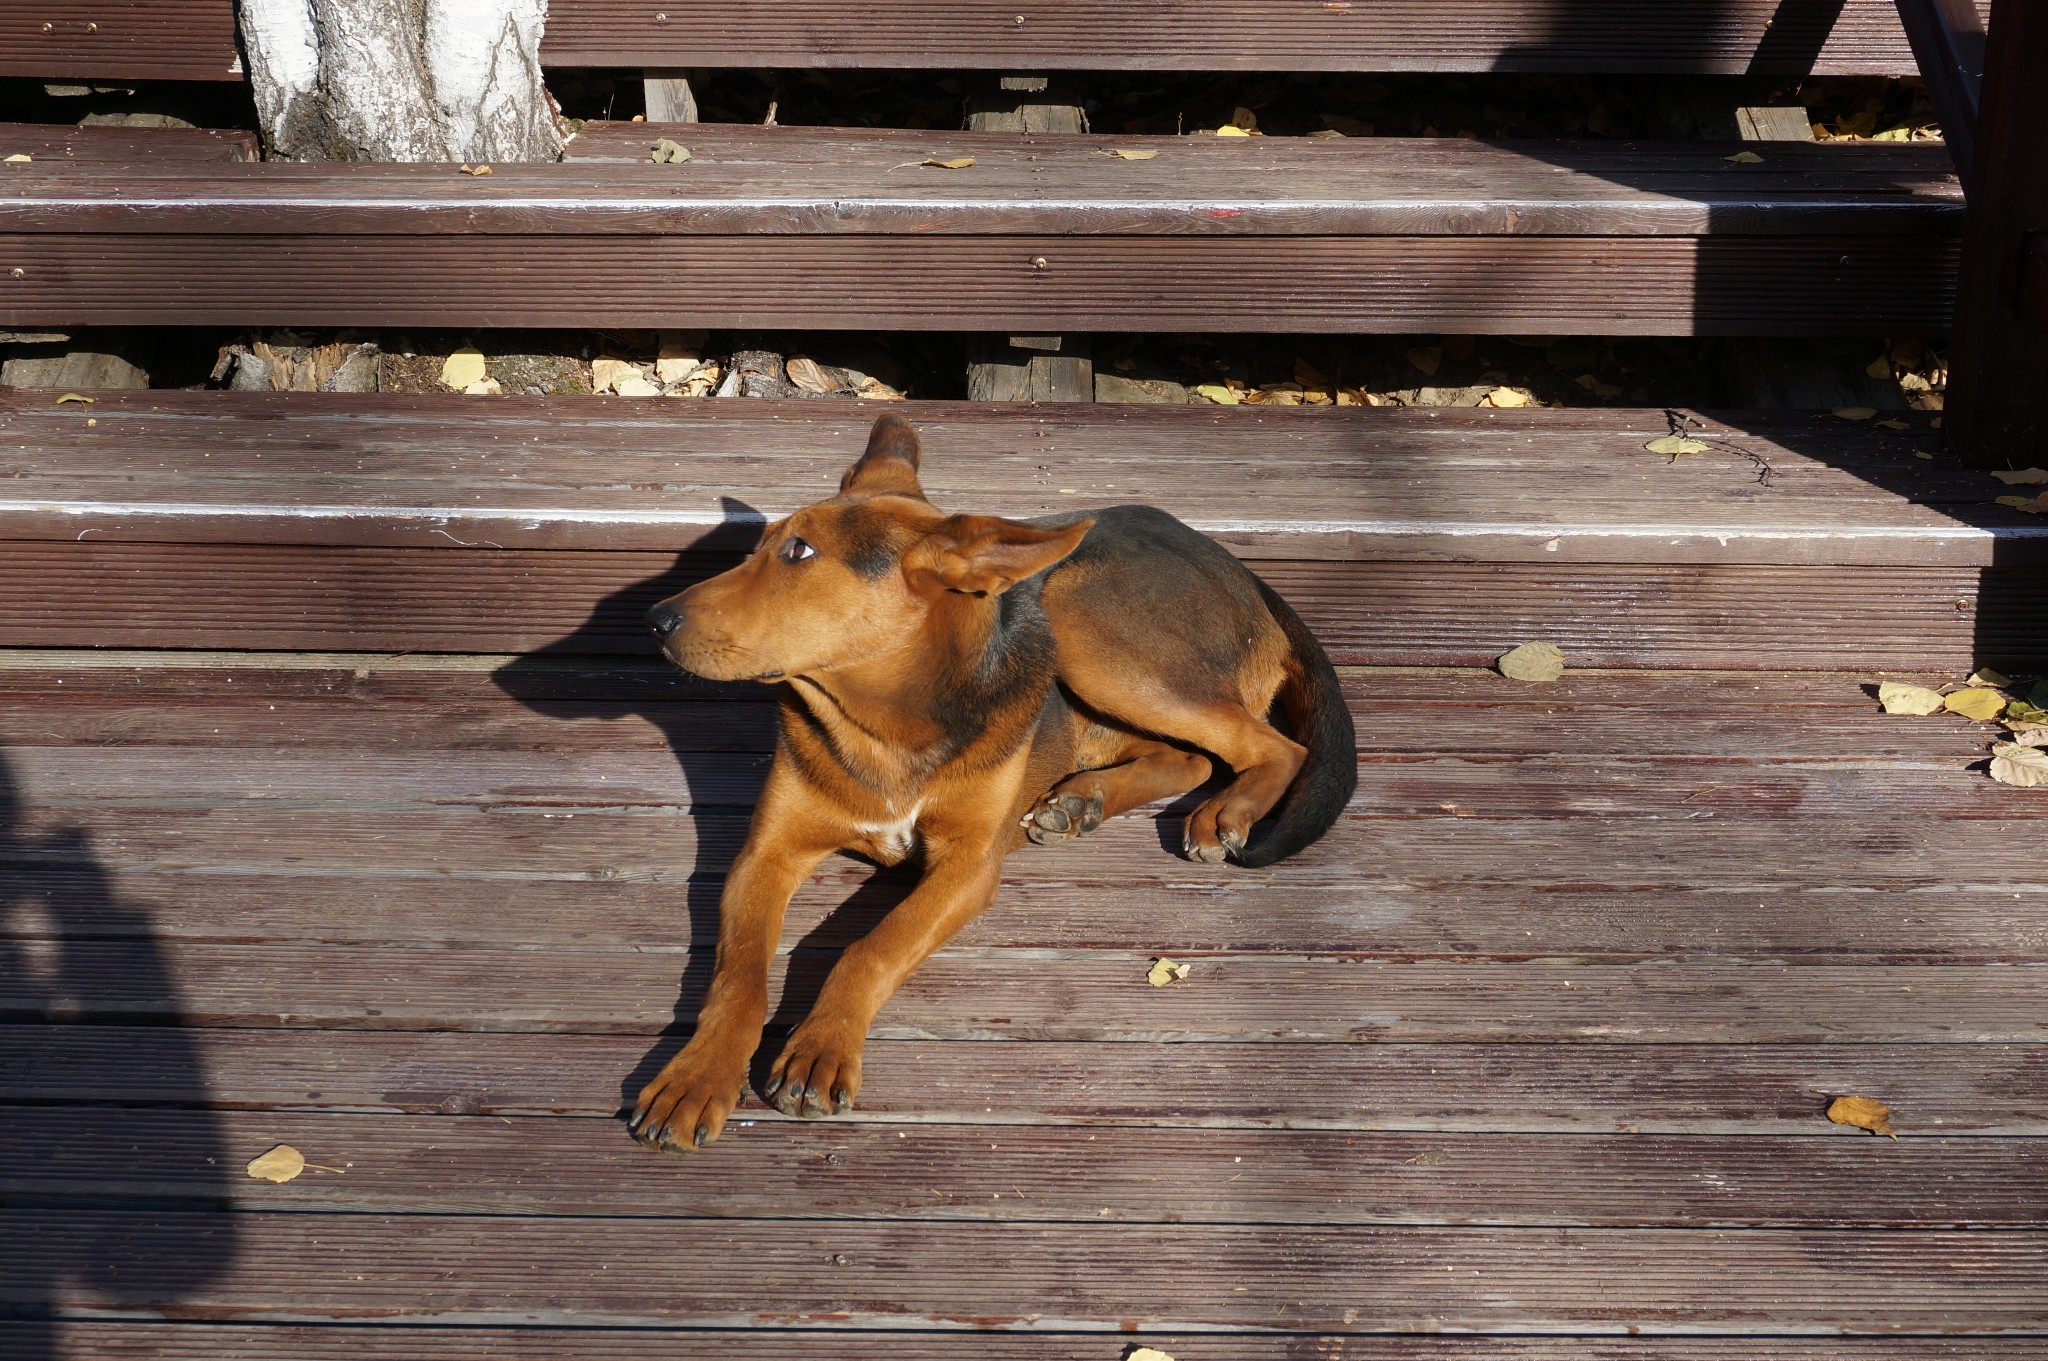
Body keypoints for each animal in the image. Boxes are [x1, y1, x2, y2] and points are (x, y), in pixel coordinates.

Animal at [630, 413, 1351, 1146]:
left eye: (799, 552)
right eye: (758, 548)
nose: (654, 620)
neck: (885, 725)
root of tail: (1242, 571)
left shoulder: (969, 866)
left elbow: (872, 945)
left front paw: (822, 1045)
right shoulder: (765, 854)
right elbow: (739, 973)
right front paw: (697, 1074)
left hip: (1081, 618)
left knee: (1274, 746)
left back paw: (1225, 812)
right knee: (1194, 756)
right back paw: (1081, 800)